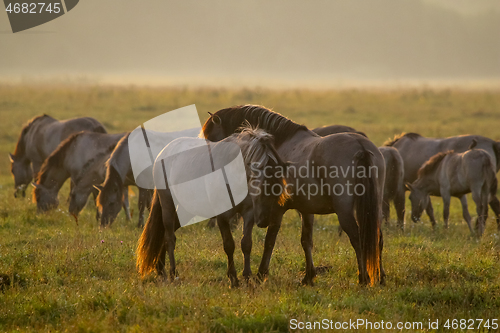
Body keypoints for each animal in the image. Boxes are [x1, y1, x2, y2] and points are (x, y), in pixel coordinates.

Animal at [137, 126, 290, 286]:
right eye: (260, 186)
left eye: (278, 189)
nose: (264, 221)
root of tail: (163, 152)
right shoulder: (222, 215)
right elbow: (229, 245)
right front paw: (233, 279)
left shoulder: (248, 214)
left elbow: (246, 244)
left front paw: (247, 277)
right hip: (168, 203)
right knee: (169, 237)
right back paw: (173, 273)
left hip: (186, 209)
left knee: (167, 233)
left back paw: (160, 269)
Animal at [201, 104, 384, 286]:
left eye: (211, 138)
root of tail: (361, 147)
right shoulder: (307, 210)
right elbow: (306, 240)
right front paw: (309, 276)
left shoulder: (276, 209)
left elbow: (269, 240)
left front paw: (261, 274)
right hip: (372, 208)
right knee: (377, 238)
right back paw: (380, 277)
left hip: (344, 210)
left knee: (357, 237)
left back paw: (363, 278)